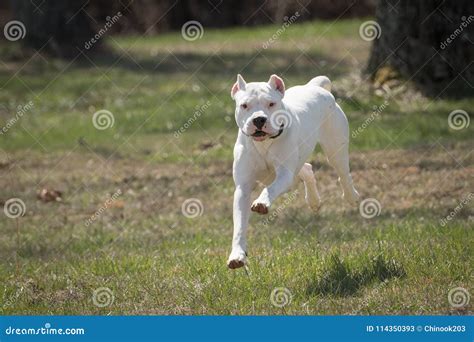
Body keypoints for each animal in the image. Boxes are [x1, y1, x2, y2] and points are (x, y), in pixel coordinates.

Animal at [226, 75, 360, 270]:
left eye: (271, 103)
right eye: (244, 105)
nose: (259, 119)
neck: (264, 143)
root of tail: (315, 87)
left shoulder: (284, 174)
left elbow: (270, 189)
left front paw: (262, 202)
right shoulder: (243, 188)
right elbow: (240, 226)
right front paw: (237, 255)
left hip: (335, 149)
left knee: (344, 173)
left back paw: (351, 196)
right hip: (298, 163)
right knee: (307, 169)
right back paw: (313, 201)